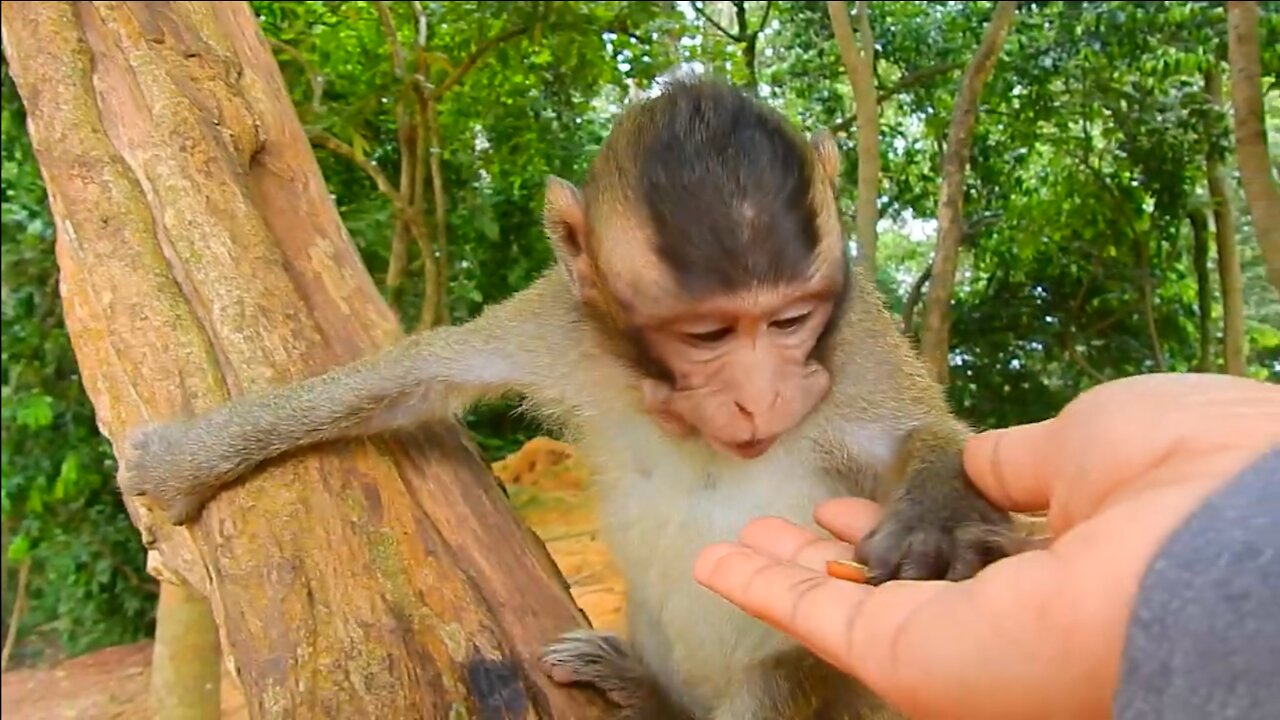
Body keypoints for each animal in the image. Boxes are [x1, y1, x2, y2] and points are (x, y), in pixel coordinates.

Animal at [117, 78, 1018, 717]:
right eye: (707, 337)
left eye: (791, 320)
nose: (763, 400)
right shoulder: (566, 316)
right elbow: (415, 377)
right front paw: (189, 462)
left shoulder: (853, 336)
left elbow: (921, 434)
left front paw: (938, 519)